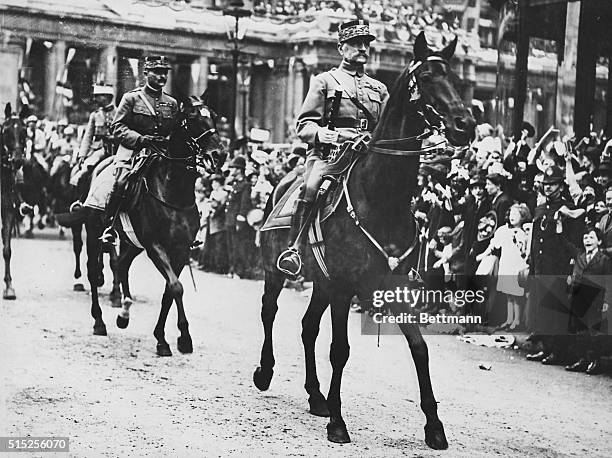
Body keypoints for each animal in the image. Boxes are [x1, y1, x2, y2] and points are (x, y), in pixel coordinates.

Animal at [85, 95, 225, 356]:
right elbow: (176, 287)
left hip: (132, 243)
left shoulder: (180, 250)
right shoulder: (156, 247)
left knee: (121, 264)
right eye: (192, 118)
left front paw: (167, 337)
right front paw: (178, 338)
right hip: (93, 231)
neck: (173, 191)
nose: (219, 154)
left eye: (213, 115)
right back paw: (99, 321)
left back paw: (124, 312)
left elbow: (169, 291)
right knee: (93, 270)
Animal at [251, 34, 476, 450]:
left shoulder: (396, 288)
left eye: (454, 77)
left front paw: (434, 426)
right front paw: (338, 424)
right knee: (269, 311)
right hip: (278, 271)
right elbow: (340, 351)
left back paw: (316, 396)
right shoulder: (344, 288)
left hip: (320, 283)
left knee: (307, 327)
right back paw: (266, 371)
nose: (465, 125)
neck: (381, 197)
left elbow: (420, 349)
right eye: (428, 78)